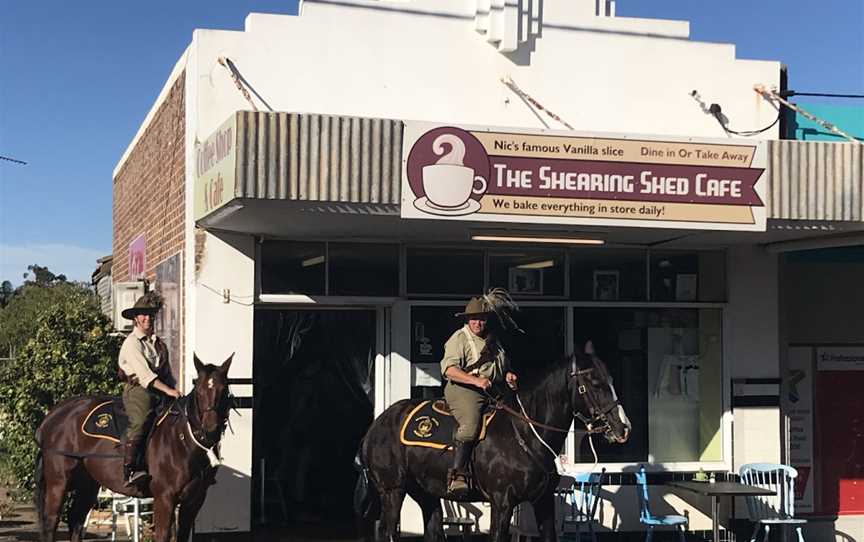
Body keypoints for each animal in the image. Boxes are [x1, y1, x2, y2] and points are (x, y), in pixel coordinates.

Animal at [34, 356, 233, 542]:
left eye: (224, 390)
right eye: (199, 390)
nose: (210, 428)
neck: (184, 438)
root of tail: (53, 415)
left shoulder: (194, 500)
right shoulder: (165, 498)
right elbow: (162, 535)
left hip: (88, 483)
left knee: (76, 520)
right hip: (59, 482)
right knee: (51, 522)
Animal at [354, 348, 632, 542]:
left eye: (610, 380)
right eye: (595, 383)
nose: (624, 428)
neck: (525, 434)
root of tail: (376, 426)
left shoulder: (543, 502)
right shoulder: (502, 503)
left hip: (426, 493)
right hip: (392, 491)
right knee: (388, 532)